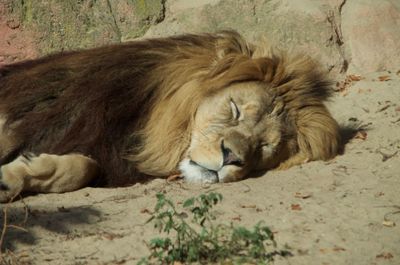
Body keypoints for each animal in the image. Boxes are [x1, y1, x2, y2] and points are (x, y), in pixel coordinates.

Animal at [0, 29, 340, 201]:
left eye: (266, 147)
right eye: (234, 109)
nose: (231, 158)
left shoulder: (108, 160)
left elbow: (85, 166)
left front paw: (12, 177)